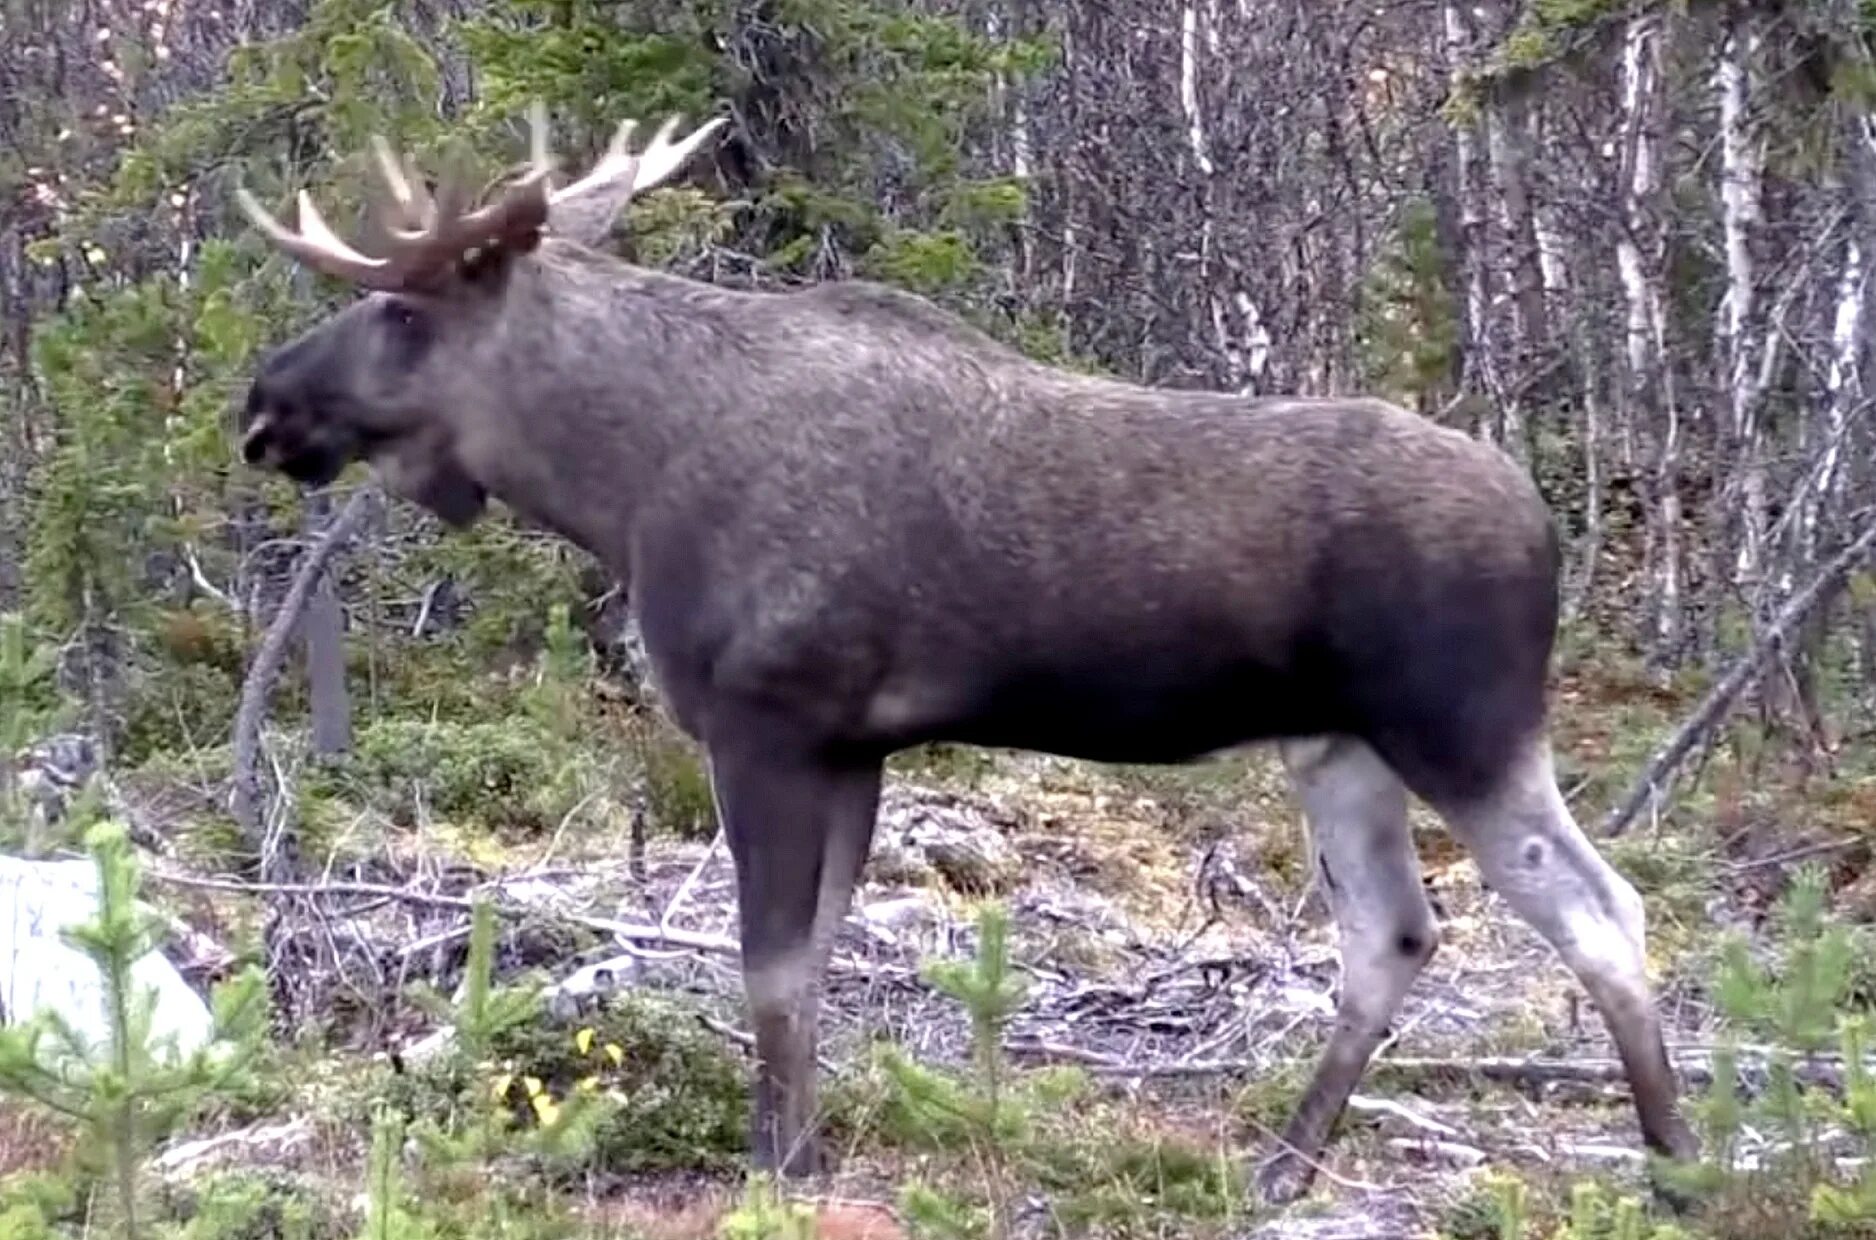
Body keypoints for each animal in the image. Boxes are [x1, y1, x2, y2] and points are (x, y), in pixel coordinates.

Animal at [234, 106, 1703, 1200]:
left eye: (403, 311)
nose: (263, 404)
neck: (622, 483)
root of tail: (1546, 526)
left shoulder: (768, 719)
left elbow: (769, 961)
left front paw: (774, 1165)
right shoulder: (855, 743)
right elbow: (817, 956)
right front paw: (806, 1143)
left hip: (1462, 724)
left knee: (1602, 910)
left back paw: (1675, 1163)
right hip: (1339, 745)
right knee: (1392, 933)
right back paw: (1285, 1165)